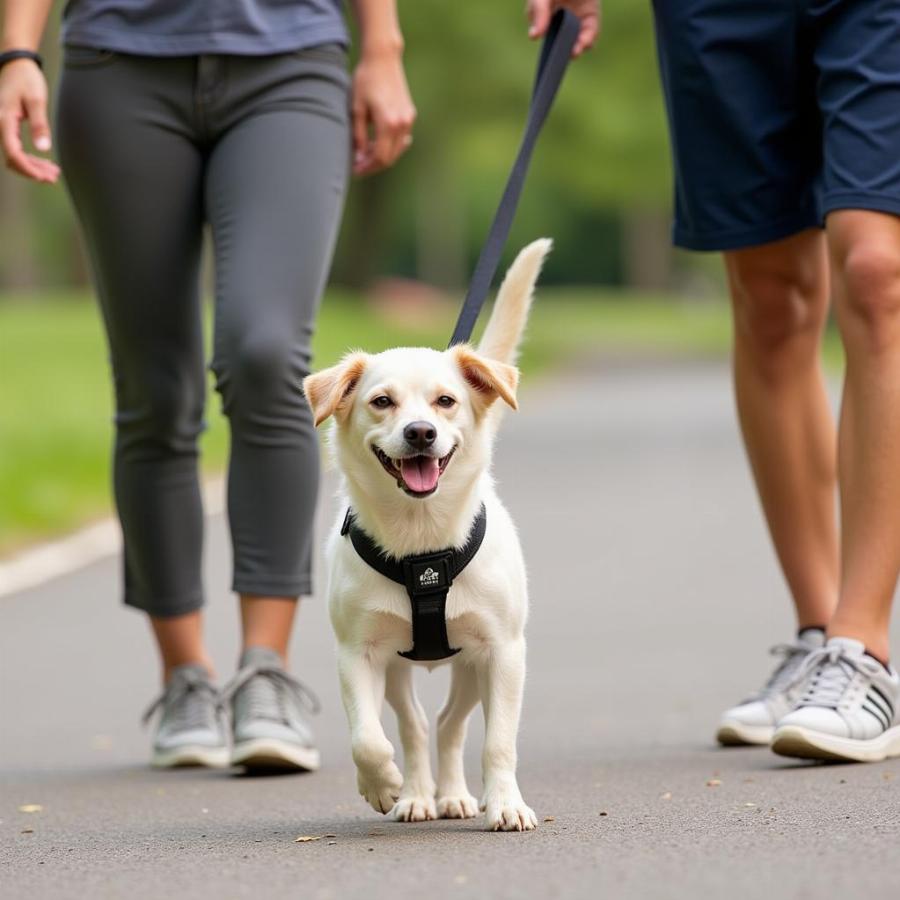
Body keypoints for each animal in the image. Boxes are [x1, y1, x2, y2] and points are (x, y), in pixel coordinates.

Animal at [306, 237, 552, 828]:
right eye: (381, 401)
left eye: (446, 400)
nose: (421, 432)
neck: (422, 547)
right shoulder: (358, 653)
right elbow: (367, 738)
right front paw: (380, 785)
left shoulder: (504, 653)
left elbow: (499, 742)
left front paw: (506, 803)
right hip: (399, 671)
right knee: (416, 726)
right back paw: (418, 794)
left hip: (470, 665)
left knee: (448, 724)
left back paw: (457, 795)